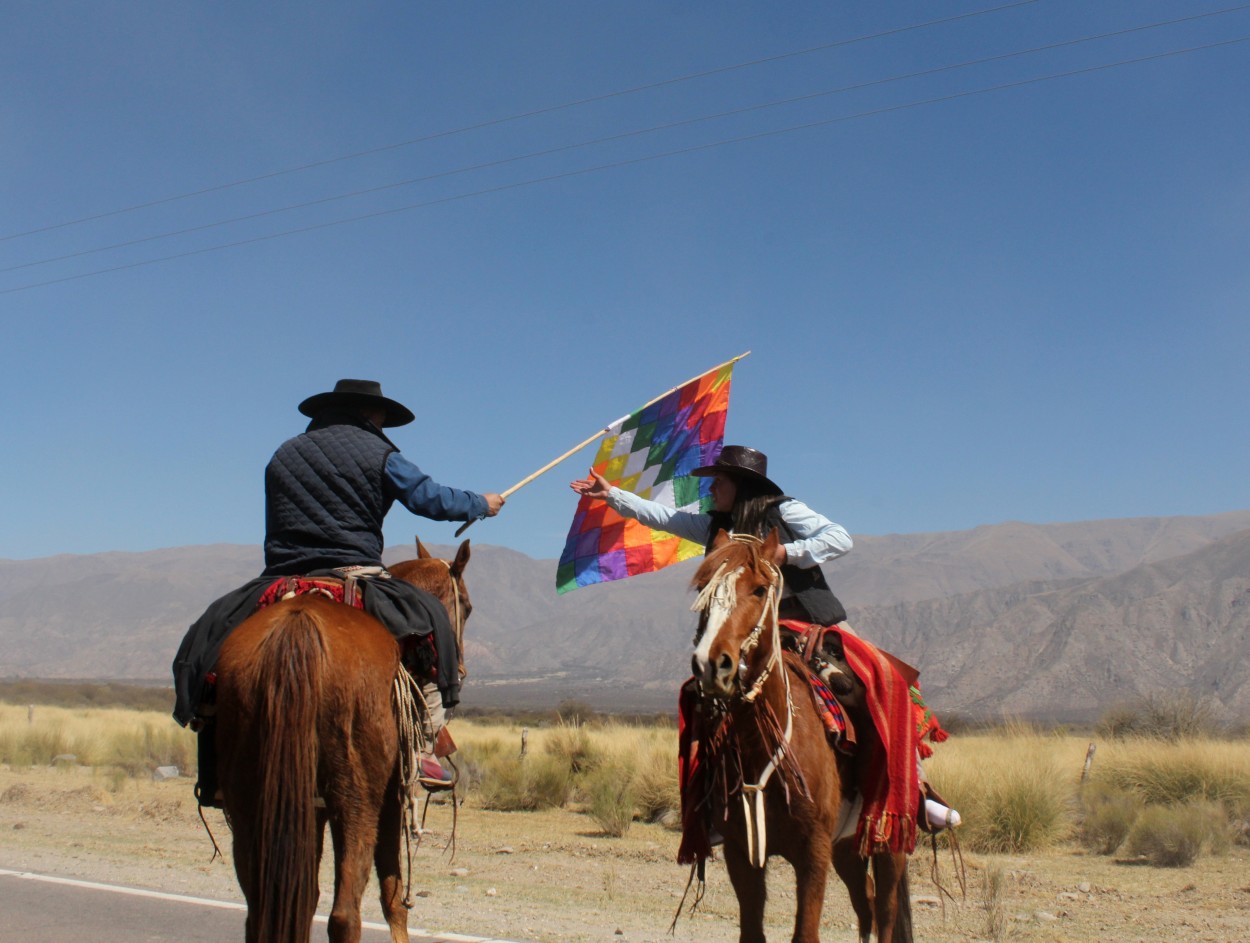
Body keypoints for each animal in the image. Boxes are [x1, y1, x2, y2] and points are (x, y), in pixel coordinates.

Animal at [212, 535, 470, 940]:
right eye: (468, 608)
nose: (460, 669)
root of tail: (297, 629)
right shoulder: (390, 800)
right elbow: (393, 897)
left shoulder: (311, 806)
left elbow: (305, 897)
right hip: (357, 800)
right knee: (346, 914)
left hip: (250, 799)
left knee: (261, 911)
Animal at [690, 530, 915, 940]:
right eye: (703, 588)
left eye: (760, 589)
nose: (712, 665)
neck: (762, 749)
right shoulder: (741, 852)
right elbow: (751, 932)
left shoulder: (813, 852)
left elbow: (805, 933)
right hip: (846, 849)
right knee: (866, 904)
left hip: (888, 841)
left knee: (887, 910)